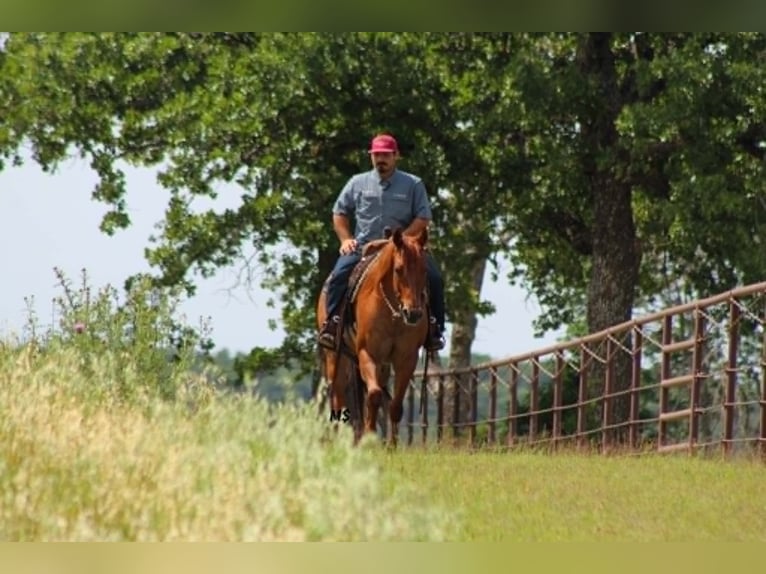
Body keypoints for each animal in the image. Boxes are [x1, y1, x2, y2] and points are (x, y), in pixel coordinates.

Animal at [316, 226, 430, 445]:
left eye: (424, 269)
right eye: (398, 269)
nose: (413, 314)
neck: (393, 312)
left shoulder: (406, 359)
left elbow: (395, 404)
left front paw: (391, 446)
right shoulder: (367, 353)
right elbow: (374, 395)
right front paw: (369, 439)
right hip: (335, 356)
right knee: (338, 395)